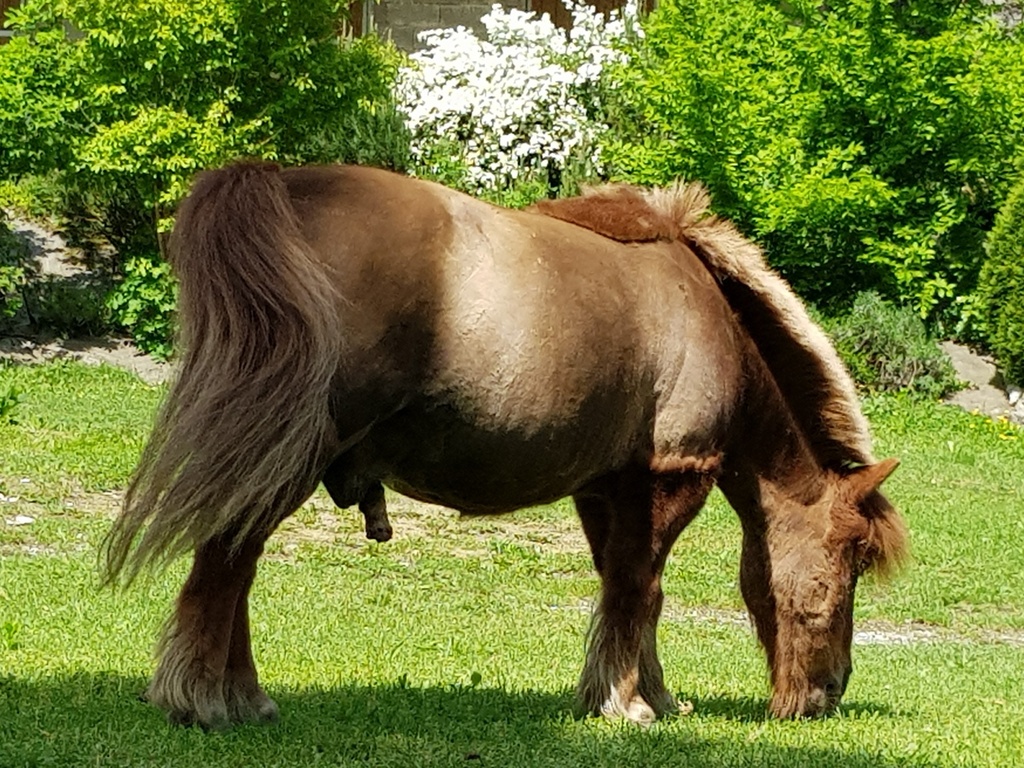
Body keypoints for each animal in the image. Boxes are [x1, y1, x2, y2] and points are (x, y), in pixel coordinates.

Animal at [101, 163, 905, 733]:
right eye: (850, 563)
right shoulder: (669, 481)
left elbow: (627, 593)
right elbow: (639, 589)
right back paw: (209, 700)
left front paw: (638, 693)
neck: (708, 316)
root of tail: (283, 182)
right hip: (289, 453)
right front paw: (630, 705)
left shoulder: (607, 490)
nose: (829, 694)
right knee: (229, 558)